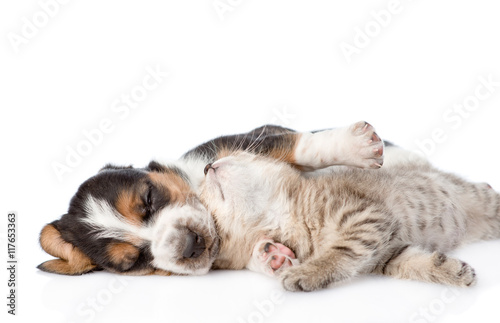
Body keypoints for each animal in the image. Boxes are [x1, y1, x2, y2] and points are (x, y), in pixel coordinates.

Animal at [199, 146, 500, 292]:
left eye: (239, 154)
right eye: (202, 193)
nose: (206, 166)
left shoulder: (366, 217)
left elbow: (341, 250)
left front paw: (307, 272)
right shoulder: (388, 253)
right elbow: (413, 263)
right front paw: (451, 271)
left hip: (483, 200)